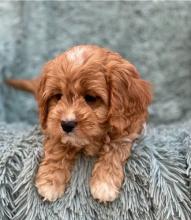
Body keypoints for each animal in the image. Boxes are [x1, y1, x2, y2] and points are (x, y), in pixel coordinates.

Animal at [7, 45, 152, 203]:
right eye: (58, 96)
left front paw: (104, 184)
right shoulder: (53, 126)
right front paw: (50, 181)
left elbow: (114, 148)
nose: (67, 124)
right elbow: (57, 147)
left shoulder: (127, 128)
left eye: (91, 98)